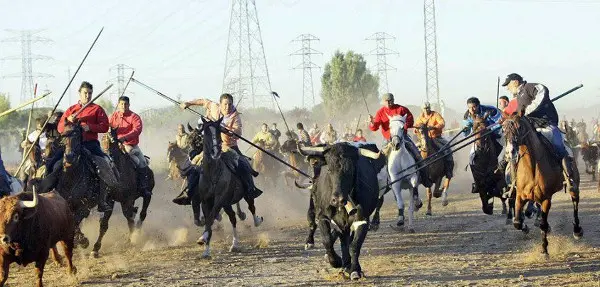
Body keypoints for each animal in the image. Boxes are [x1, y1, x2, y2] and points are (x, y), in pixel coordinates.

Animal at [90, 128, 155, 258]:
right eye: (102, 142)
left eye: (112, 141)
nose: (107, 159)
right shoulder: (110, 200)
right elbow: (104, 224)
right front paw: (95, 249)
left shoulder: (127, 200)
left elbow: (129, 219)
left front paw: (133, 240)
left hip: (147, 195)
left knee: (142, 214)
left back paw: (137, 231)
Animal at [197, 117, 262, 258]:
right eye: (206, 132)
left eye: (218, 131)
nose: (215, 152)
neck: (213, 173)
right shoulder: (205, 201)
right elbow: (209, 219)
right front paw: (206, 249)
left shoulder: (219, 200)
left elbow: (211, 217)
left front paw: (203, 238)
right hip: (227, 203)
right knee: (232, 217)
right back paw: (234, 244)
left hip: (245, 195)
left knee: (251, 207)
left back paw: (256, 221)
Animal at [296, 144, 384, 282]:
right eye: (329, 169)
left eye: (350, 170)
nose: (338, 199)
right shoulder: (323, 217)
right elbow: (327, 240)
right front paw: (335, 261)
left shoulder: (362, 220)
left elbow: (354, 245)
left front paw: (355, 270)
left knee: (347, 241)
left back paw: (348, 265)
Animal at [502, 115, 580, 256]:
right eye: (503, 129)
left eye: (519, 127)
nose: (511, 152)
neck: (532, 168)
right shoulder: (520, 197)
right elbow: (517, 222)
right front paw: (525, 227)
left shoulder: (546, 199)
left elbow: (543, 223)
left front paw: (544, 250)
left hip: (574, 184)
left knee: (575, 200)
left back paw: (577, 231)